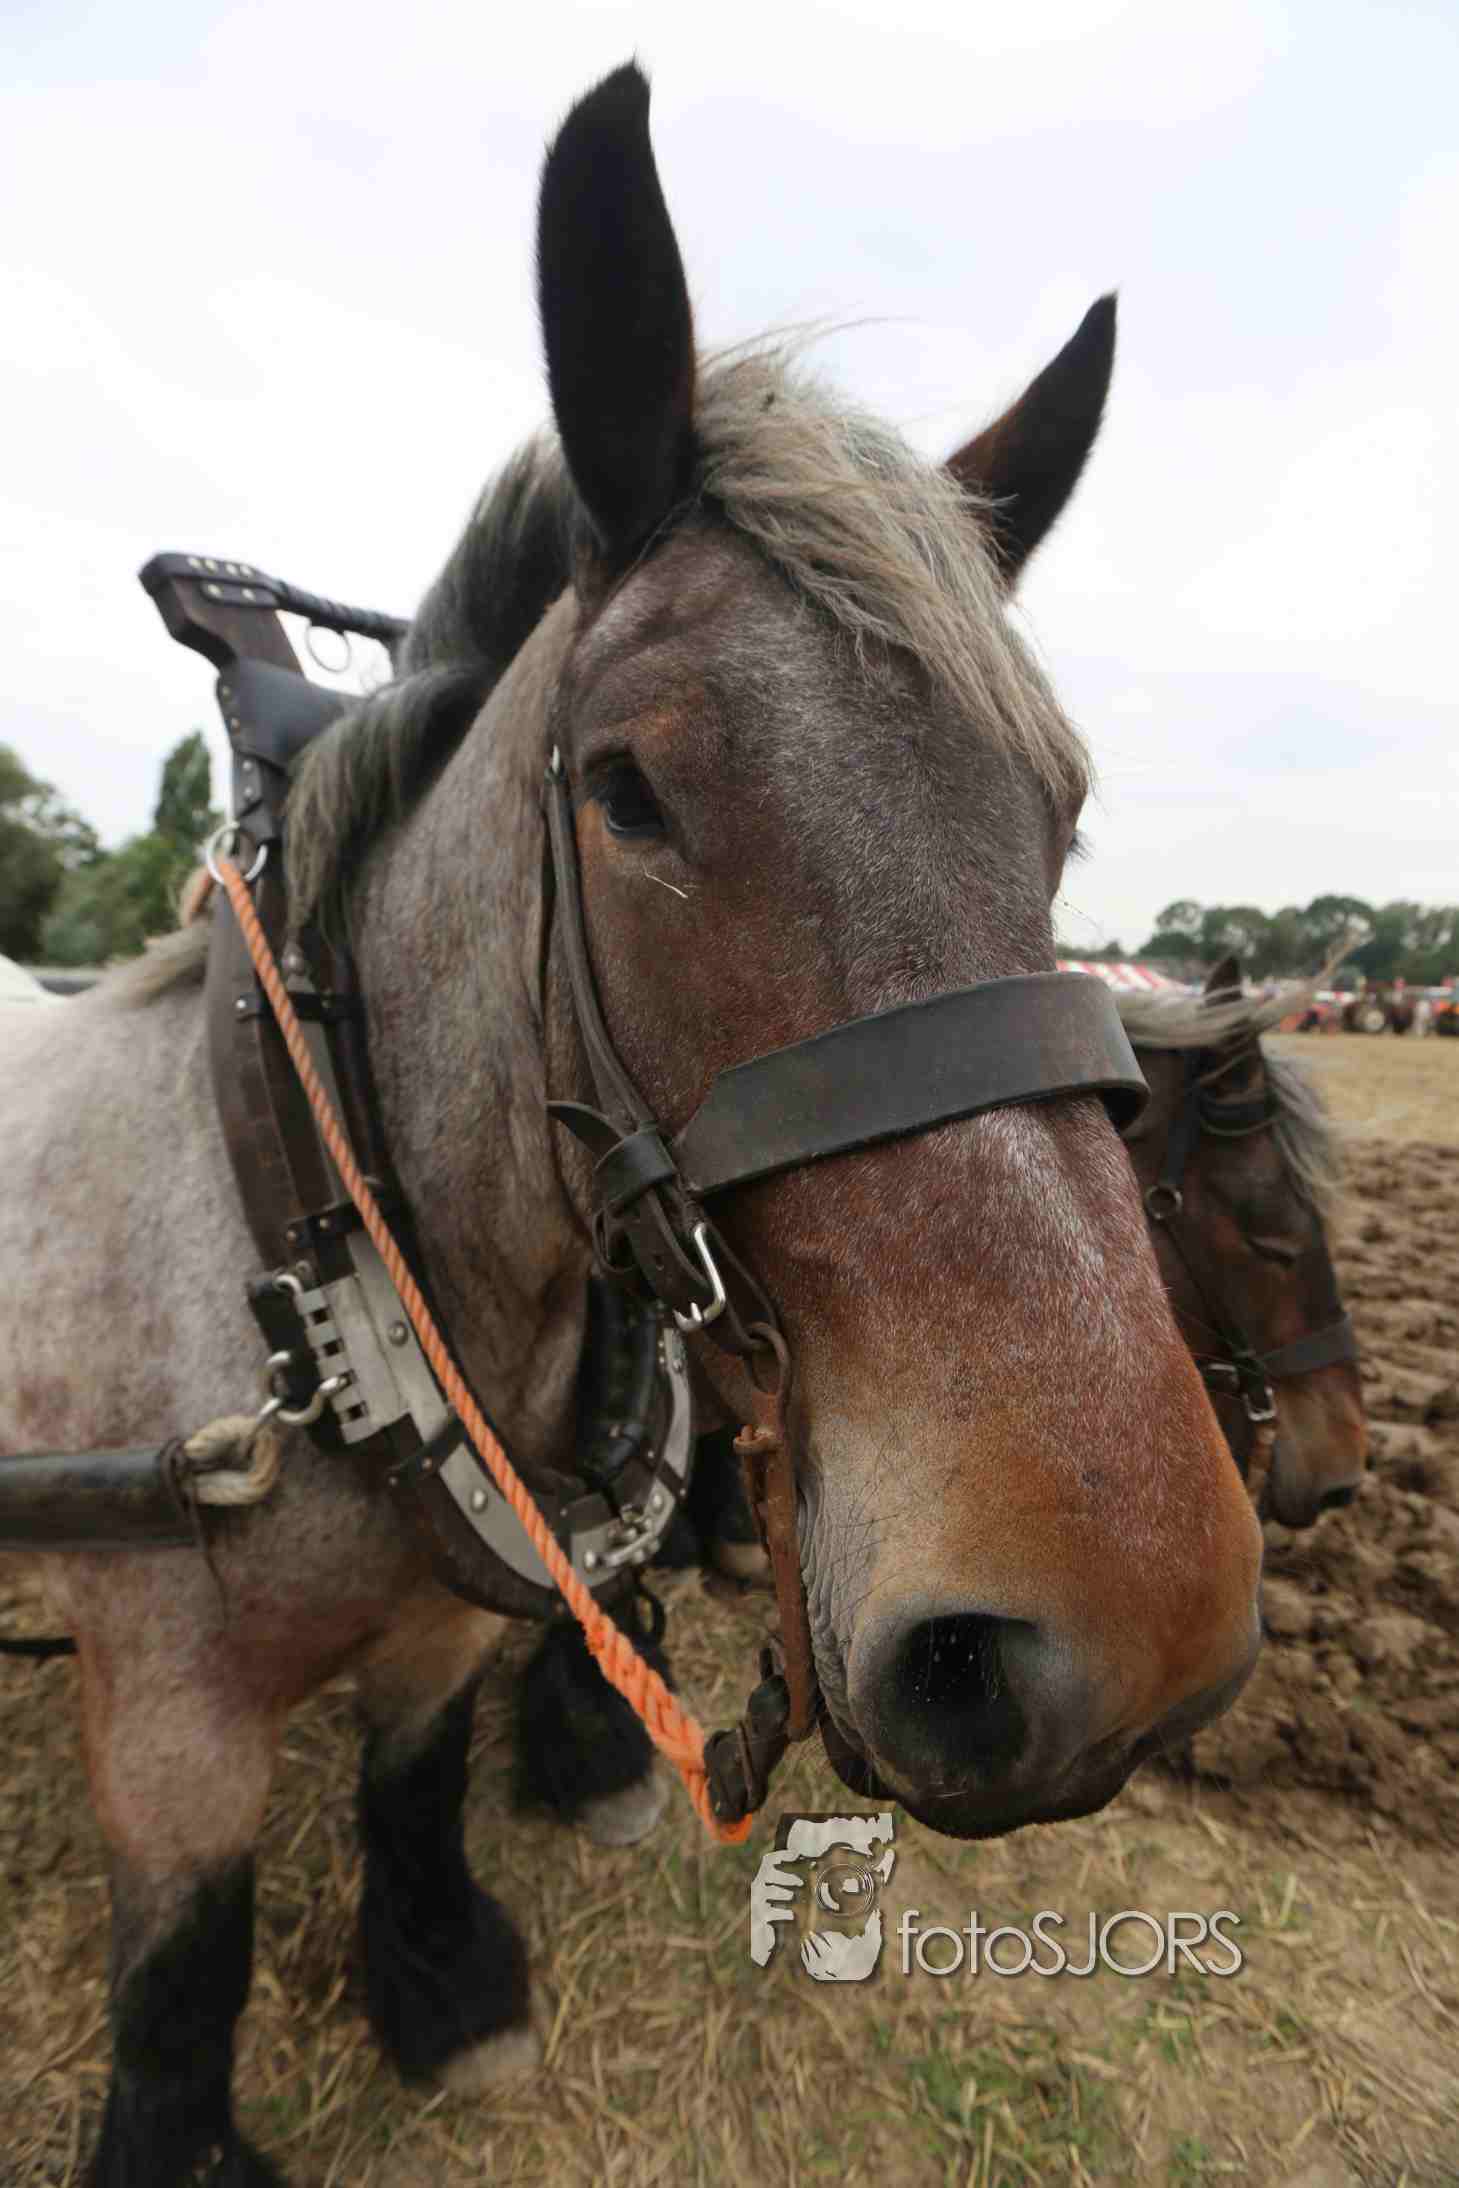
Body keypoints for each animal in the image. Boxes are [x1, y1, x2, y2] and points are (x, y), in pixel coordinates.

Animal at [0, 64, 1261, 2187]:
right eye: (626, 789)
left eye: (1056, 808)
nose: (1127, 1626)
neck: (313, 1259)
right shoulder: (165, 1719)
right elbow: (181, 1970)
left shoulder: (446, 1613)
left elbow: (413, 1778)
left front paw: (438, 1978)